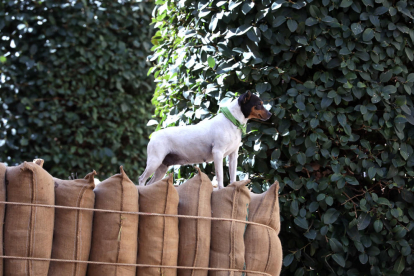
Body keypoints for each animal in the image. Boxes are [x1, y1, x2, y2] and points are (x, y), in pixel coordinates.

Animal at [139, 91, 272, 189]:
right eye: (259, 104)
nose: (270, 114)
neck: (231, 121)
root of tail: (154, 135)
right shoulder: (218, 153)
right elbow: (220, 175)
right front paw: (221, 189)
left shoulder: (233, 155)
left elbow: (233, 175)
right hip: (154, 161)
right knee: (141, 179)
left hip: (162, 166)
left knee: (150, 183)